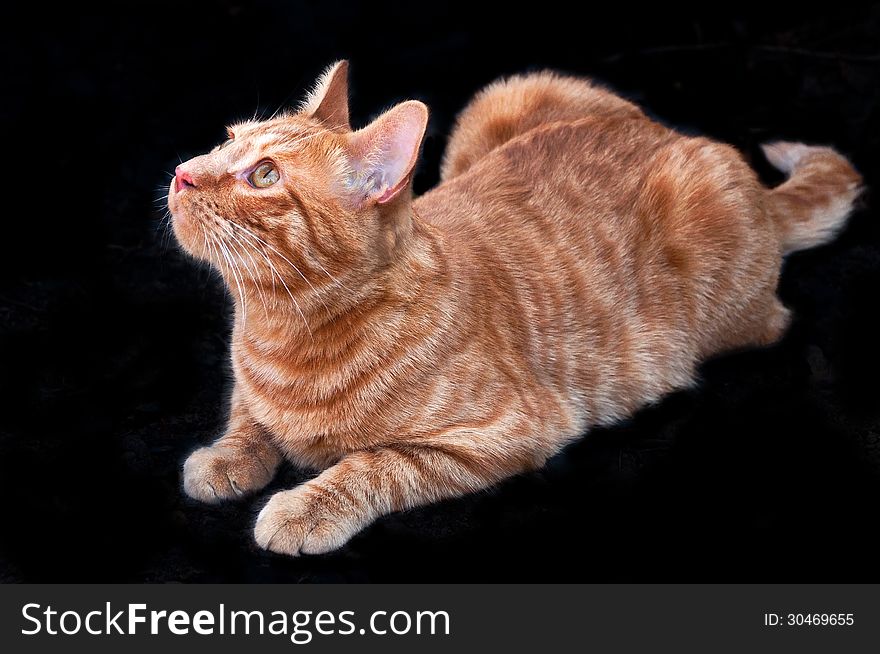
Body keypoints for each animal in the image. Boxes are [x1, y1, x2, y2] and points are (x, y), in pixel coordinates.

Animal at [168, 61, 864, 556]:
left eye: (263, 175)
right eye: (224, 142)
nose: (182, 171)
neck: (281, 333)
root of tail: (678, 136)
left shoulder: (506, 432)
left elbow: (375, 465)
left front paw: (302, 506)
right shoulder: (253, 391)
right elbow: (247, 417)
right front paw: (226, 458)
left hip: (727, 304)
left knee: (770, 321)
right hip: (505, 95)